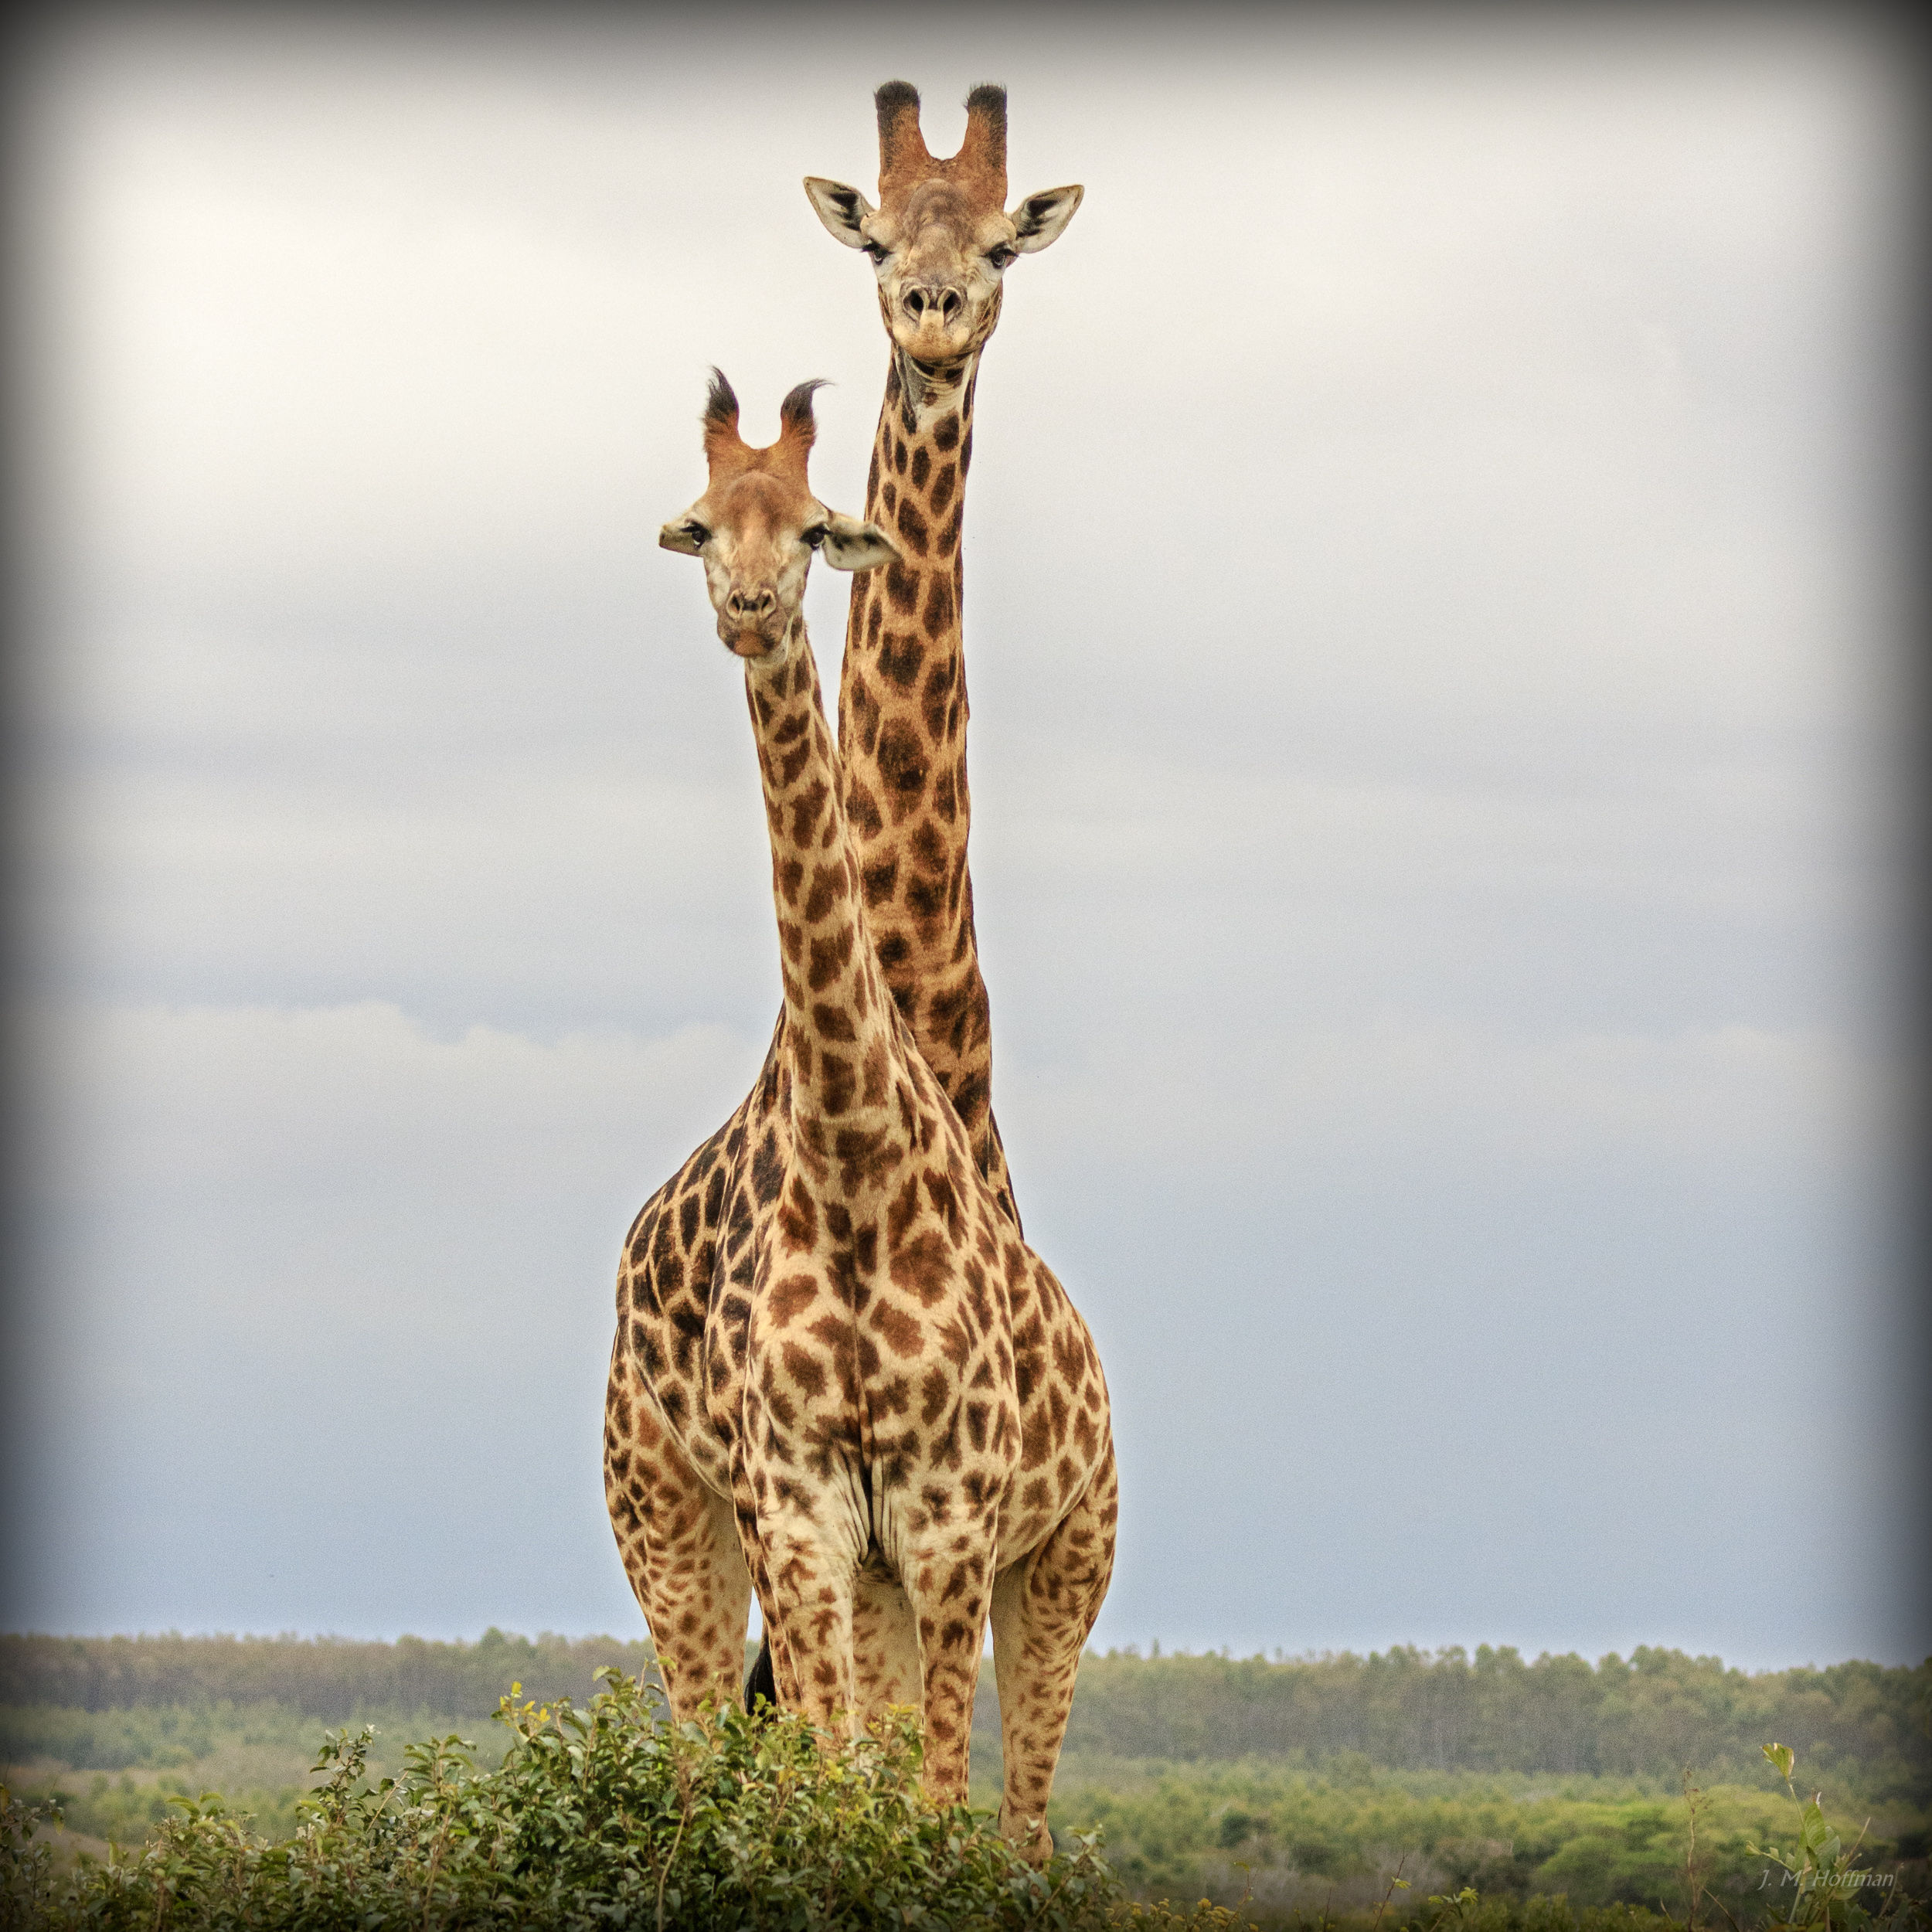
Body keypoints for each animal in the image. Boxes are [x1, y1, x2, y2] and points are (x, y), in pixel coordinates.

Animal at [604, 373, 1116, 1860]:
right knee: (709, 1755)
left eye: (816, 526)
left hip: (1068, 1555)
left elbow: (929, 1803)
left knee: (1022, 1827)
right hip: (666, 1510)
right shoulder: (805, 1514)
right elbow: (829, 1789)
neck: (853, 1163)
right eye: (702, 521)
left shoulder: (948, 1521)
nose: (749, 604)